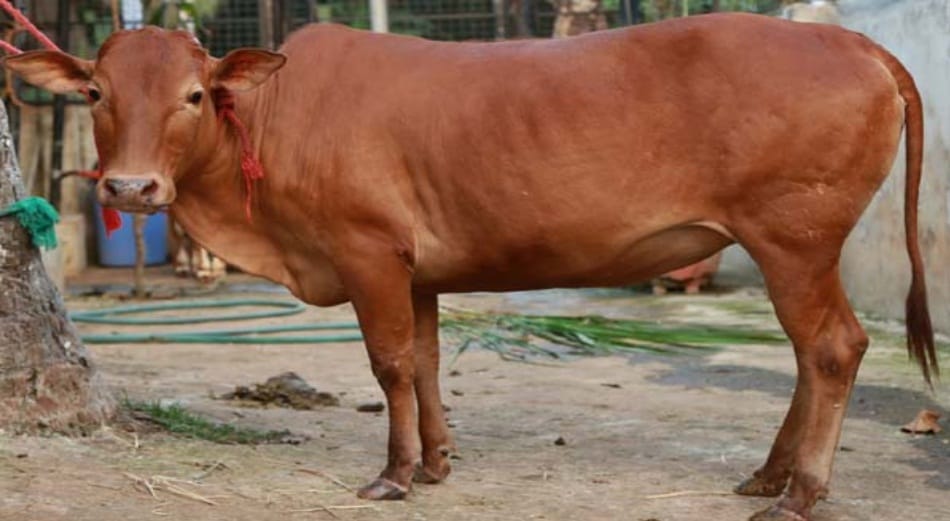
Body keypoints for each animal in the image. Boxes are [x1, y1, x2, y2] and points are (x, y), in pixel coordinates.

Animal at [4, 13, 934, 521]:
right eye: (96, 93)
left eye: (194, 95)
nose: (130, 186)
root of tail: (852, 43)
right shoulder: (415, 268)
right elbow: (423, 360)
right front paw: (436, 460)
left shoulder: (368, 249)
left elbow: (387, 364)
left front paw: (393, 474)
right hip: (791, 245)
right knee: (811, 355)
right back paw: (769, 472)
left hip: (794, 238)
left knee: (833, 348)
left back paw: (800, 490)